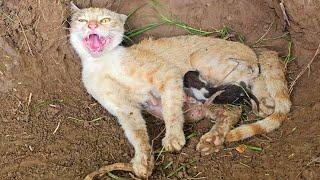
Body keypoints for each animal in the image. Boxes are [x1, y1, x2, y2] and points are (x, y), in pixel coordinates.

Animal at [69, 2, 292, 179]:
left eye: (105, 20)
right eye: (82, 19)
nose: (92, 25)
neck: (102, 63)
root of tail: (253, 48)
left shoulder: (168, 75)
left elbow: (172, 111)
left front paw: (173, 139)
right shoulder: (124, 108)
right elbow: (136, 133)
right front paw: (143, 162)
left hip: (204, 62)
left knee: (246, 88)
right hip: (207, 102)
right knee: (234, 106)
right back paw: (216, 137)